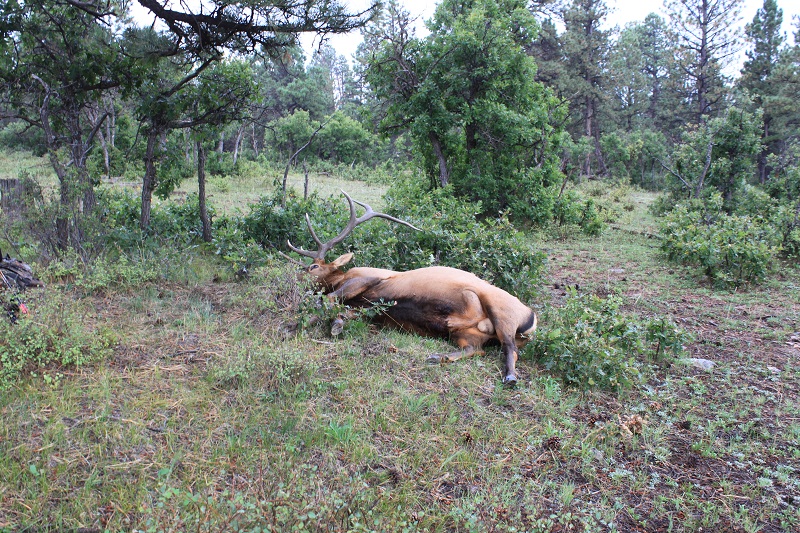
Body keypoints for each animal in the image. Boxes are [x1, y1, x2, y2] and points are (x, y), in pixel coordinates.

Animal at [286, 192, 538, 386]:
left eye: (313, 266)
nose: (293, 278)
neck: (341, 277)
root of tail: (532, 318)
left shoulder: (367, 277)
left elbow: (328, 298)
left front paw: (295, 325)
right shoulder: (364, 309)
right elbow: (338, 308)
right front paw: (330, 324)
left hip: (502, 311)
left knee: (510, 346)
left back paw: (510, 377)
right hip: (465, 334)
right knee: (476, 349)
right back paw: (439, 357)